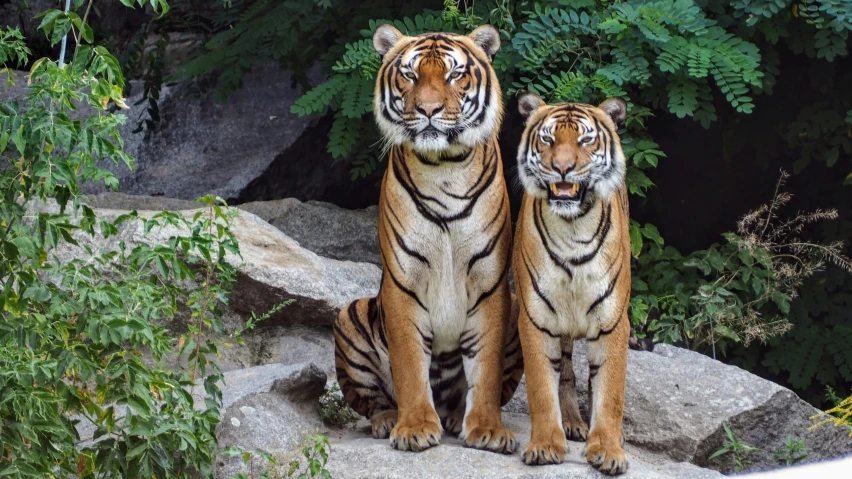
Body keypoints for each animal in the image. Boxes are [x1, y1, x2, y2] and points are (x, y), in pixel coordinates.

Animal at [330, 24, 524, 456]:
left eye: (454, 75)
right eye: (410, 74)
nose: (429, 110)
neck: (444, 167)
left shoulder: (490, 284)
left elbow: (485, 370)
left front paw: (487, 428)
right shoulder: (403, 283)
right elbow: (408, 365)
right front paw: (415, 427)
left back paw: (455, 417)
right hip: (350, 314)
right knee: (370, 400)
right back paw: (388, 419)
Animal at [512, 93, 632, 476]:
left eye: (585, 140)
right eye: (548, 140)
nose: (562, 168)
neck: (573, 229)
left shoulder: (613, 322)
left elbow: (609, 392)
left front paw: (608, 449)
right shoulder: (535, 319)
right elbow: (541, 387)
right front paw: (545, 445)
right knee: (565, 372)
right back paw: (572, 423)